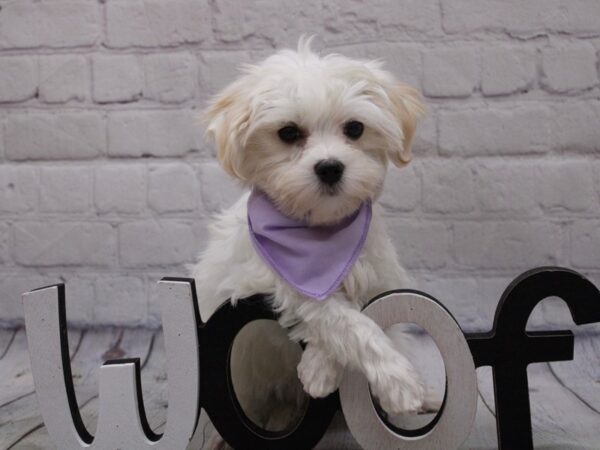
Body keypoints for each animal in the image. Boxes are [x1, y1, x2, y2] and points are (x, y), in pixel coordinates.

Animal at [192, 37, 426, 428]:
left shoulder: (377, 272)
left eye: (355, 129)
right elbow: (338, 316)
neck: (320, 230)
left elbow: (361, 310)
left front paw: (318, 370)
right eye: (288, 133)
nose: (330, 167)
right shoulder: (272, 278)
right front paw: (397, 380)